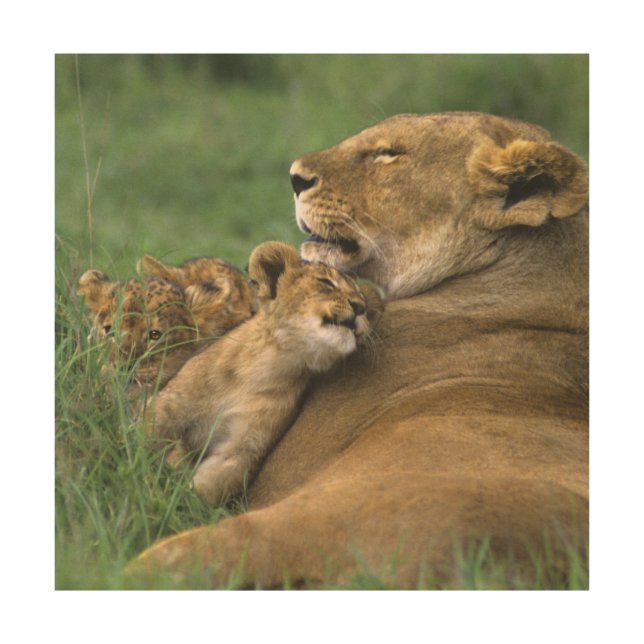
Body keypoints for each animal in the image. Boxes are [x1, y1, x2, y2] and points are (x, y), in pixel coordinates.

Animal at [144, 241, 383, 506]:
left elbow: (205, 488)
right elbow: (138, 442)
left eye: (363, 300)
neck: (267, 365)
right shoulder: (167, 408)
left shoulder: (241, 449)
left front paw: (175, 504)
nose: (360, 307)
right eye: (326, 283)